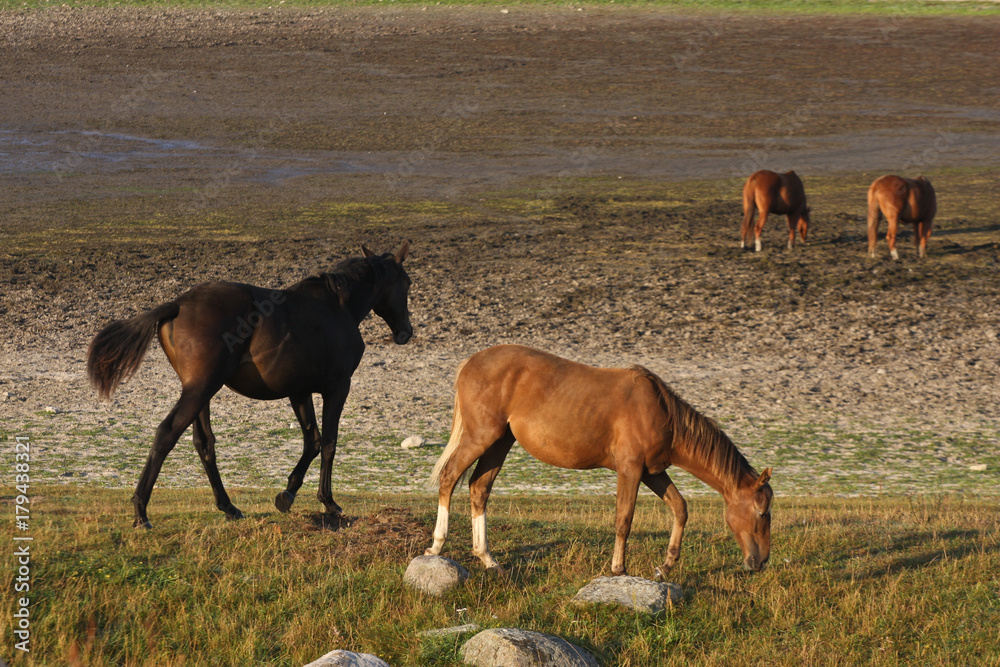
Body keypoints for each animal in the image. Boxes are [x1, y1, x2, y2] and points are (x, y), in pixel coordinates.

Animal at [87, 242, 413, 528]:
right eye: (408, 283)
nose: (406, 333)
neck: (337, 307)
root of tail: (178, 304)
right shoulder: (338, 387)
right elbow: (329, 442)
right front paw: (328, 502)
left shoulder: (299, 391)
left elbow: (313, 440)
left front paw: (287, 494)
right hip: (201, 388)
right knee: (167, 433)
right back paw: (141, 511)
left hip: (201, 392)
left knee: (204, 444)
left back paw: (228, 507)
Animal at [424, 345, 773, 578]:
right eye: (762, 512)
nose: (761, 562)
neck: (660, 411)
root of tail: (471, 361)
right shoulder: (630, 470)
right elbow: (624, 519)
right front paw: (619, 568)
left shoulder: (652, 472)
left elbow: (680, 508)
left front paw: (666, 565)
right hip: (481, 436)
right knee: (450, 477)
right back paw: (436, 547)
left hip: (500, 442)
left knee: (478, 488)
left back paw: (487, 558)